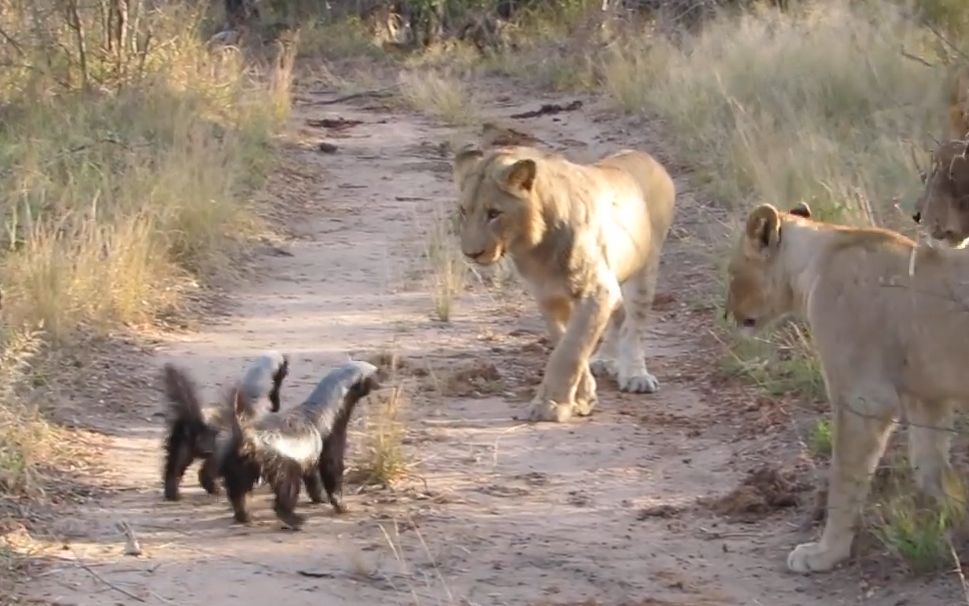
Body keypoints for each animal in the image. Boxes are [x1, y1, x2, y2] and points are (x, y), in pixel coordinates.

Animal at [452, 145, 672, 426]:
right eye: (463, 211)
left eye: (494, 213)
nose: (471, 254)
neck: (533, 246)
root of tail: (643, 154)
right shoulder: (549, 296)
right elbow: (564, 342)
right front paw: (583, 396)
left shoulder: (597, 291)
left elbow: (569, 350)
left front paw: (550, 405)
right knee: (618, 318)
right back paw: (604, 361)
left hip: (645, 269)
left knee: (633, 327)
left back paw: (636, 375)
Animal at [724, 203, 968, 576]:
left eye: (732, 272)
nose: (727, 315)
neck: (815, 260)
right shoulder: (927, 396)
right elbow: (929, 465)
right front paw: (950, 518)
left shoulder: (863, 398)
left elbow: (844, 479)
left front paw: (826, 553)